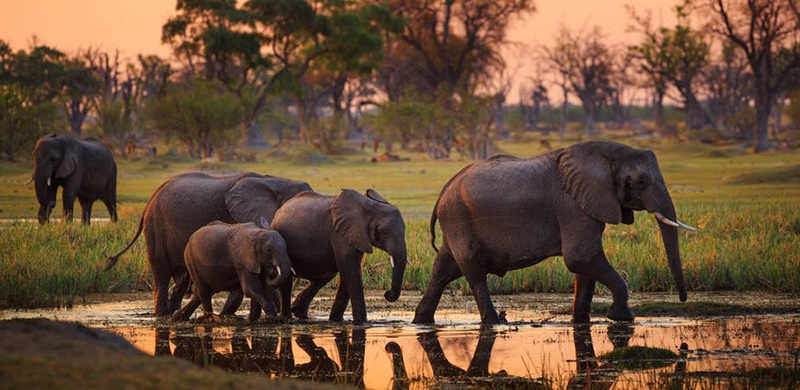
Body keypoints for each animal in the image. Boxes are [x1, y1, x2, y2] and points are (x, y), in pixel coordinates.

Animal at [108, 173, 314, 316]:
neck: (275, 181)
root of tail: (149, 201)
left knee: (182, 279)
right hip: (156, 227)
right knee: (161, 273)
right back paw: (162, 314)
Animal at [274, 189, 410, 322]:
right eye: (384, 232)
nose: (386, 293)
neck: (369, 207)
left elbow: (347, 272)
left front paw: (336, 320)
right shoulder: (339, 232)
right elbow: (351, 271)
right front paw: (362, 322)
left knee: (326, 275)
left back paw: (299, 312)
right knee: (287, 278)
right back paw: (286, 317)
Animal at [412, 139, 692, 322]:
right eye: (638, 182)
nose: (682, 299)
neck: (605, 155)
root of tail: (444, 190)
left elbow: (584, 266)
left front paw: (580, 322)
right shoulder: (573, 205)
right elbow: (581, 257)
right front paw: (622, 318)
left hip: (455, 221)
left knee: (442, 270)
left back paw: (421, 321)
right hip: (458, 217)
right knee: (474, 272)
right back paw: (495, 322)